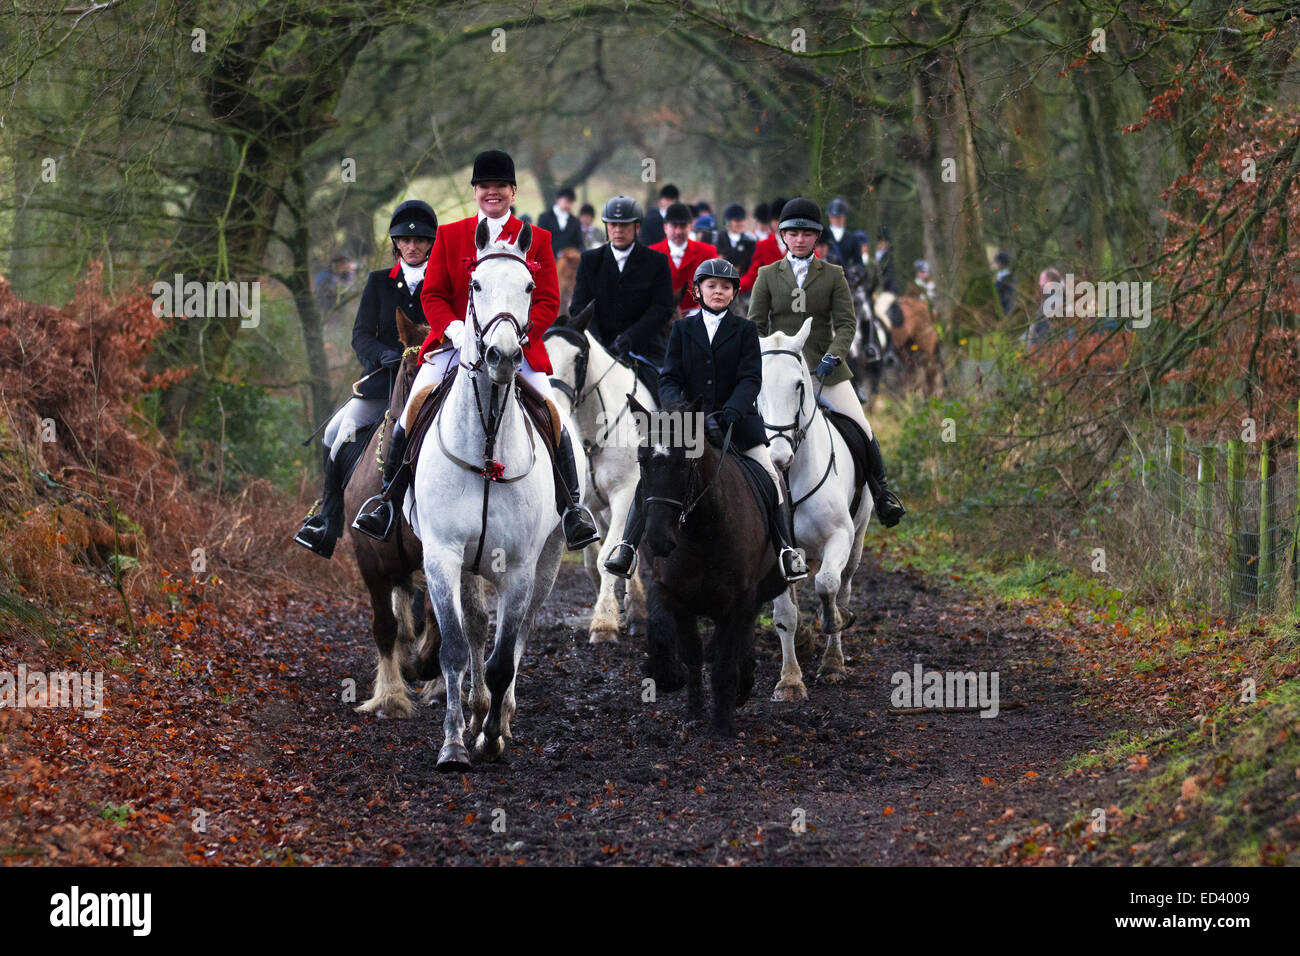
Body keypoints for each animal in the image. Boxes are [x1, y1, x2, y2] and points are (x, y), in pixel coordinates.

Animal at [405, 222, 569, 770]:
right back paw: (475, 713)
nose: (503, 356)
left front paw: (494, 736)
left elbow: (502, 660)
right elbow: (456, 648)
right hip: (470, 565)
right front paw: (455, 743)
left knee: (519, 634)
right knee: (477, 629)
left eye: (529, 286)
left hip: (547, 560)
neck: (487, 439)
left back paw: (500, 717)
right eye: (475, 284)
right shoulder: (442, 555)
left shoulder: (519, 565)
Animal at [543, 304, 655, 650]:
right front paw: (615, 611)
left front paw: (604, 623)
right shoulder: (586, 503)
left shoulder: (625, 494)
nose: (556, 408)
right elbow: (594, 559)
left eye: (578, 358)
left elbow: (608, 553)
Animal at [626, 395, 780, 733]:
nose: (657, 539)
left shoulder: (739, 600)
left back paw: (743, 684)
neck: (703, 532)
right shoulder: (670, 591)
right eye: (642, 461)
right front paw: (677, 687)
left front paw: (722, 724)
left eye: (684, 463)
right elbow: (673, 639)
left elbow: (724, 660)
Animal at [759, 317, 868, 697]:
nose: (778, 456)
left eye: (799, 385)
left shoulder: (840, 536)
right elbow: (785, 614)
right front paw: (790, 680)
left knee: (844, 584)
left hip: (859, 535)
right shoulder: (775, 551)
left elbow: (827, 585)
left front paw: (833, 632)